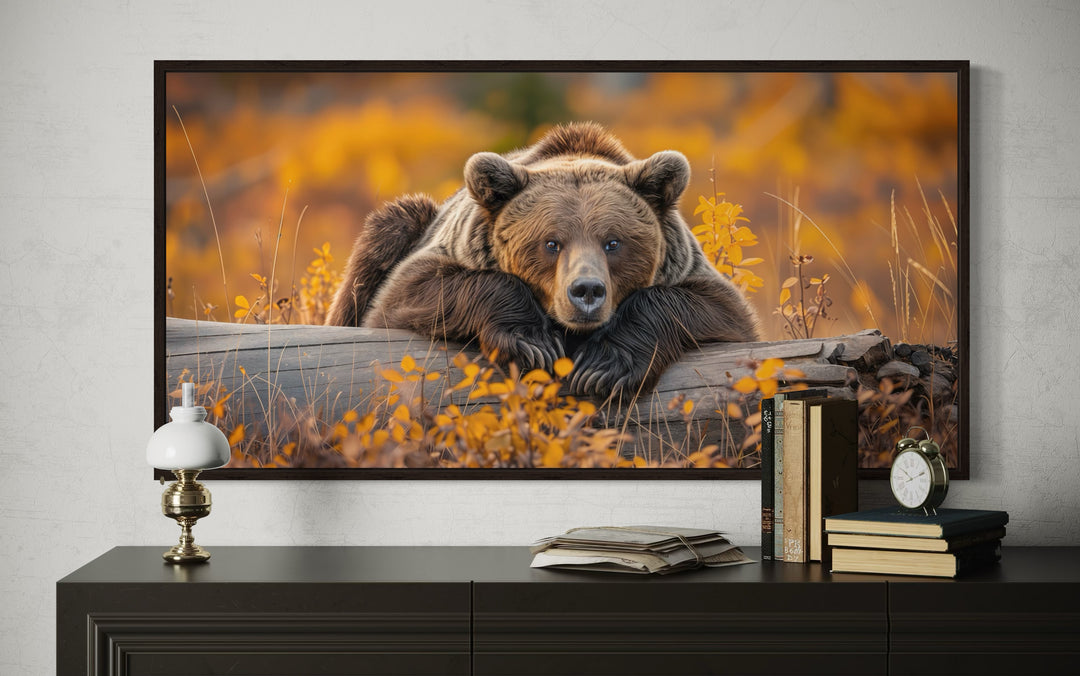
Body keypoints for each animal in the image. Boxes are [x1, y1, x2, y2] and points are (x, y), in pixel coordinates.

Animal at [327, 122, 759, 399]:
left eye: (613, 242)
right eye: (551, 243)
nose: (587, 291)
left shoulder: (688, 269)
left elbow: (719, 309)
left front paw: (602, 366)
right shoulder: (448, 252)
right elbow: (405, 295)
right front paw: (531, 344)